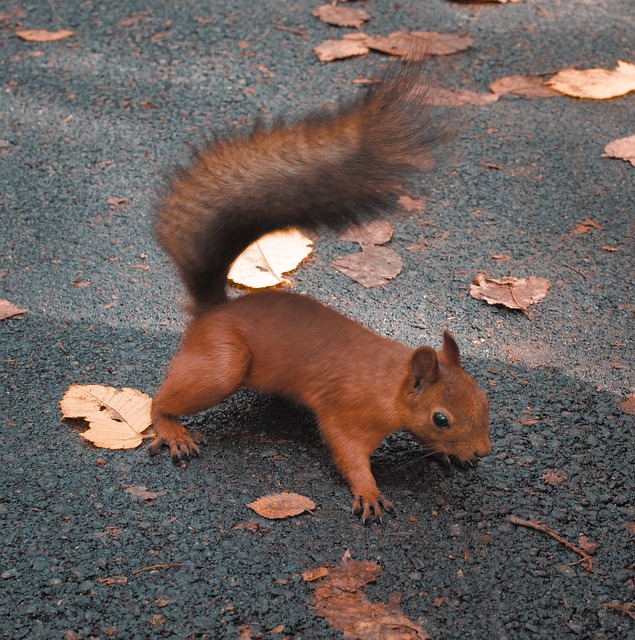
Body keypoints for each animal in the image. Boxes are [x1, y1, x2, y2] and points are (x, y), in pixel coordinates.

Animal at [150, 62, 492, 524]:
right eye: (441, 418)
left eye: (482, 396)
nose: (483, 451)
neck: (390, 379)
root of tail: (213, 312)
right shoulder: (346, 413)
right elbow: (347, 451)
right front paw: (369, 492)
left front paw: (451, 455)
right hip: (222, 364)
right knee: (161, 399)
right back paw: (170, 428)